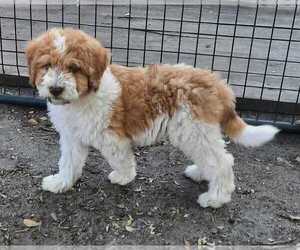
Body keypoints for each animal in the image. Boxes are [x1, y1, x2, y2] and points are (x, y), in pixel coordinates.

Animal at [25, 27, 278, 208]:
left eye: (74, 68)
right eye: (46, 65)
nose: (56, 89)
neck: (81, 98)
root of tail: (216, 83)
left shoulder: (111, 138)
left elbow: (121, 159)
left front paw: (124, 177)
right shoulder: (71, 138)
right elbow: (68, 162)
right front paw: (61, 183)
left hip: (193, 131)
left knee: (222, 162)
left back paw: (216, 198)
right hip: (198, 133)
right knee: (218, 157)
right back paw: (200, 174)